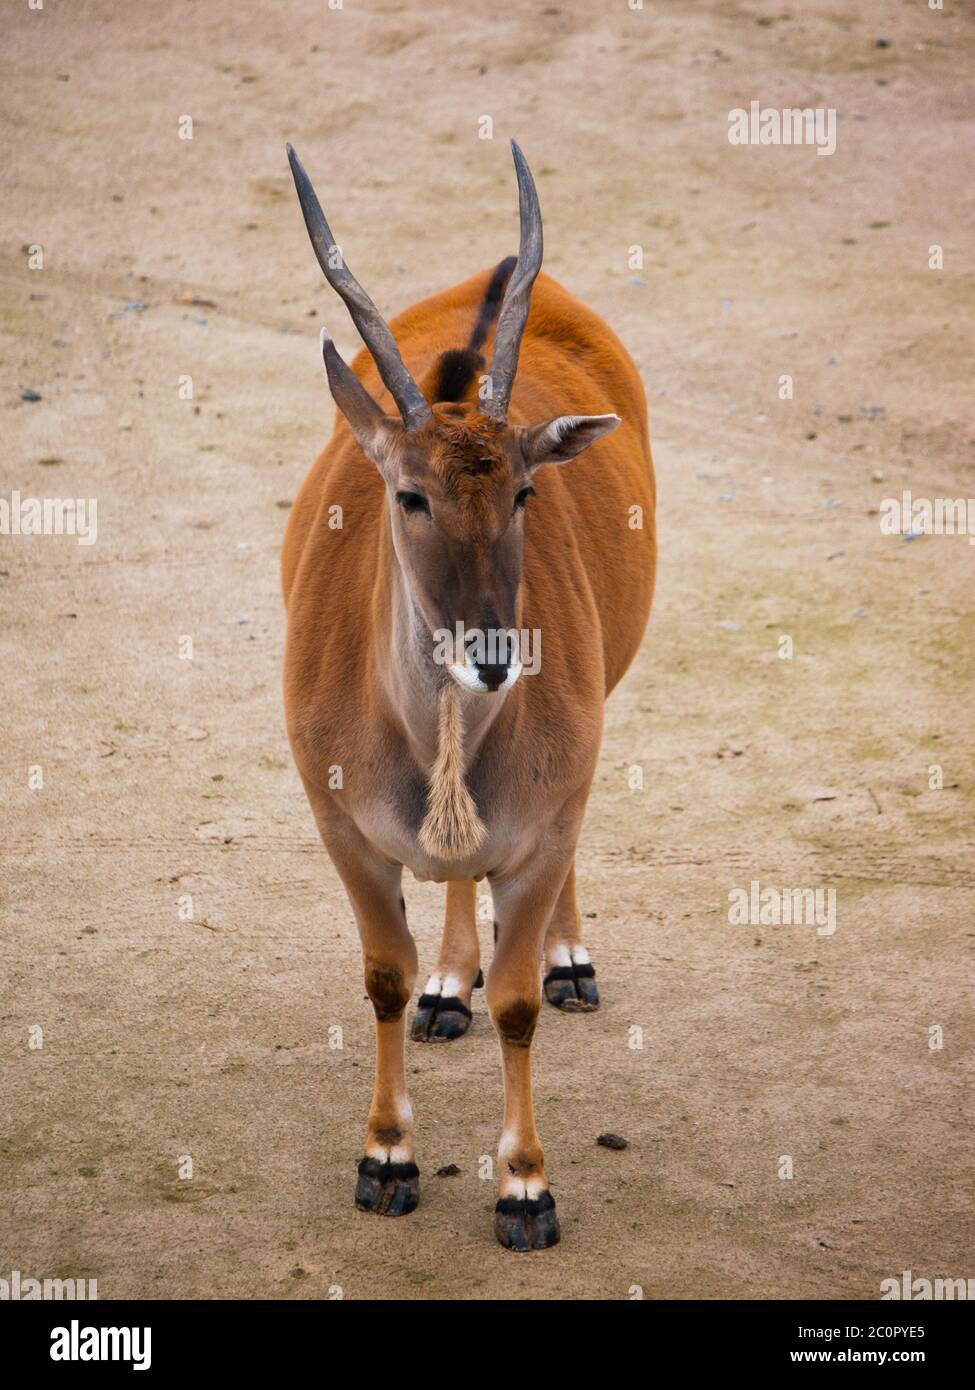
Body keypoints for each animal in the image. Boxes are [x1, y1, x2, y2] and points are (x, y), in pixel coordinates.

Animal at [280, 138, 653, 1251]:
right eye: (409, 493)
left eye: (523, 489)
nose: (492, 654)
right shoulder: (341, 827)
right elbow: (382, 976)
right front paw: (387, 1159)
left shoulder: (544, 825)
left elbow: (521, 1003)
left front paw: (525, 1186)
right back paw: (452, 983)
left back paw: (568, 962)